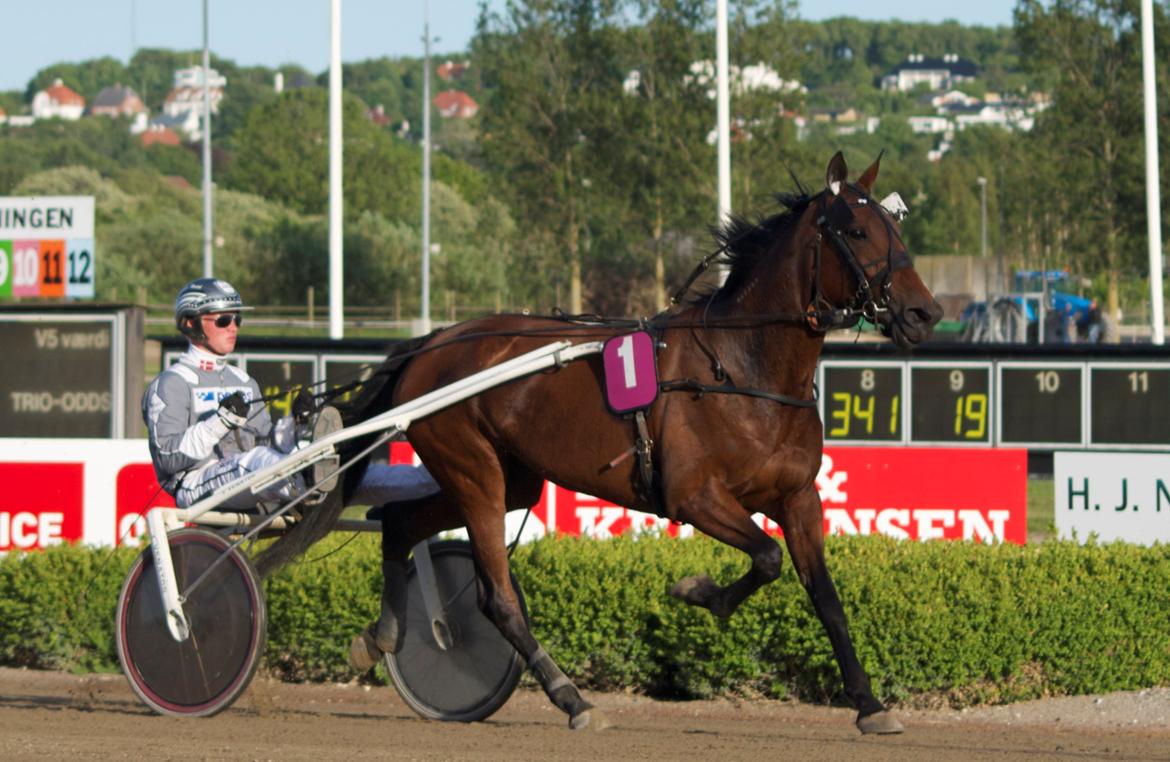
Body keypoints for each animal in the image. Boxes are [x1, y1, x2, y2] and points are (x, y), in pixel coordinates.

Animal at [263, 150, 940, 735]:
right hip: (474, 470)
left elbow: (824, 595)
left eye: (894, 226)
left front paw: (869, 703)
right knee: (495, 595)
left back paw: (379, 638)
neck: (744, 367)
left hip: (507, 479)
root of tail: (430, 344)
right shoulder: (694, 496)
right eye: (856, 230)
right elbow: (767, 558)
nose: (923, 314)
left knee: (401, 524)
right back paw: (572, 698)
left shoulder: (799, 497)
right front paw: (701, 593)